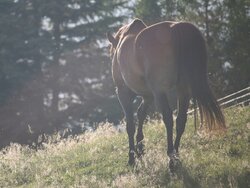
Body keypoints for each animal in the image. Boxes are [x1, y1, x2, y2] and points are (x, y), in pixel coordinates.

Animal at [106, 18, 226, 169]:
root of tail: (175, 28)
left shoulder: (123, 93)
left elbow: (130, 125)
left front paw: (132, 157)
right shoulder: (148, 96)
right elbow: (141, 114)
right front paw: (140, 148)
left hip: (160, 92)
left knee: (168, 119)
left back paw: (171, 157)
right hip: (183, 90)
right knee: (180, 120)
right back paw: (175, 155)